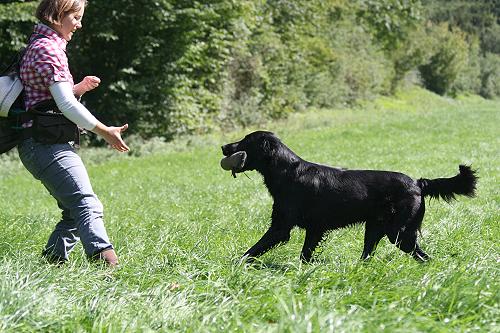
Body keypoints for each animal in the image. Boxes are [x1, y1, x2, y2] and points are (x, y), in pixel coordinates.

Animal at [222, 130, 476, 262]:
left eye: (245, 140)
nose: (224, 146)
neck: (287, 172)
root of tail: (418, 182)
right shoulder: (315, 228)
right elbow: (305, 254)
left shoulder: (281, 227)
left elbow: (253, 250)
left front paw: (234, 264)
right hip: (375, 229)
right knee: (370, 255)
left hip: (399, 232)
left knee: (423, 256)